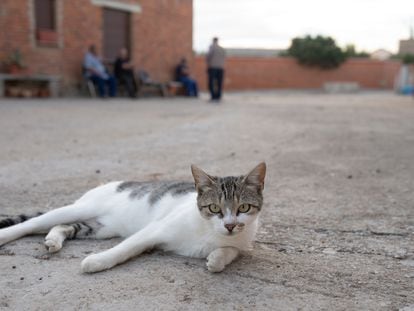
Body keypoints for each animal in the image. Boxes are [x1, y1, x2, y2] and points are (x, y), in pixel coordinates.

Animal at [0, 163, 266, 272]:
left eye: (243, 207)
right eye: (214, 208)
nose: (230, 225)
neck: (209, 231)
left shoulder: (242, 240)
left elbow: (232, 250)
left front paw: (217, 259)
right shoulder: (155, 229)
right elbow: (124, 248)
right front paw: (96, 262)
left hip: (100, 227)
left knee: (64, 226)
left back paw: (53, 240)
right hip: (80, 208)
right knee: (34, 222)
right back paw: (5, 235)